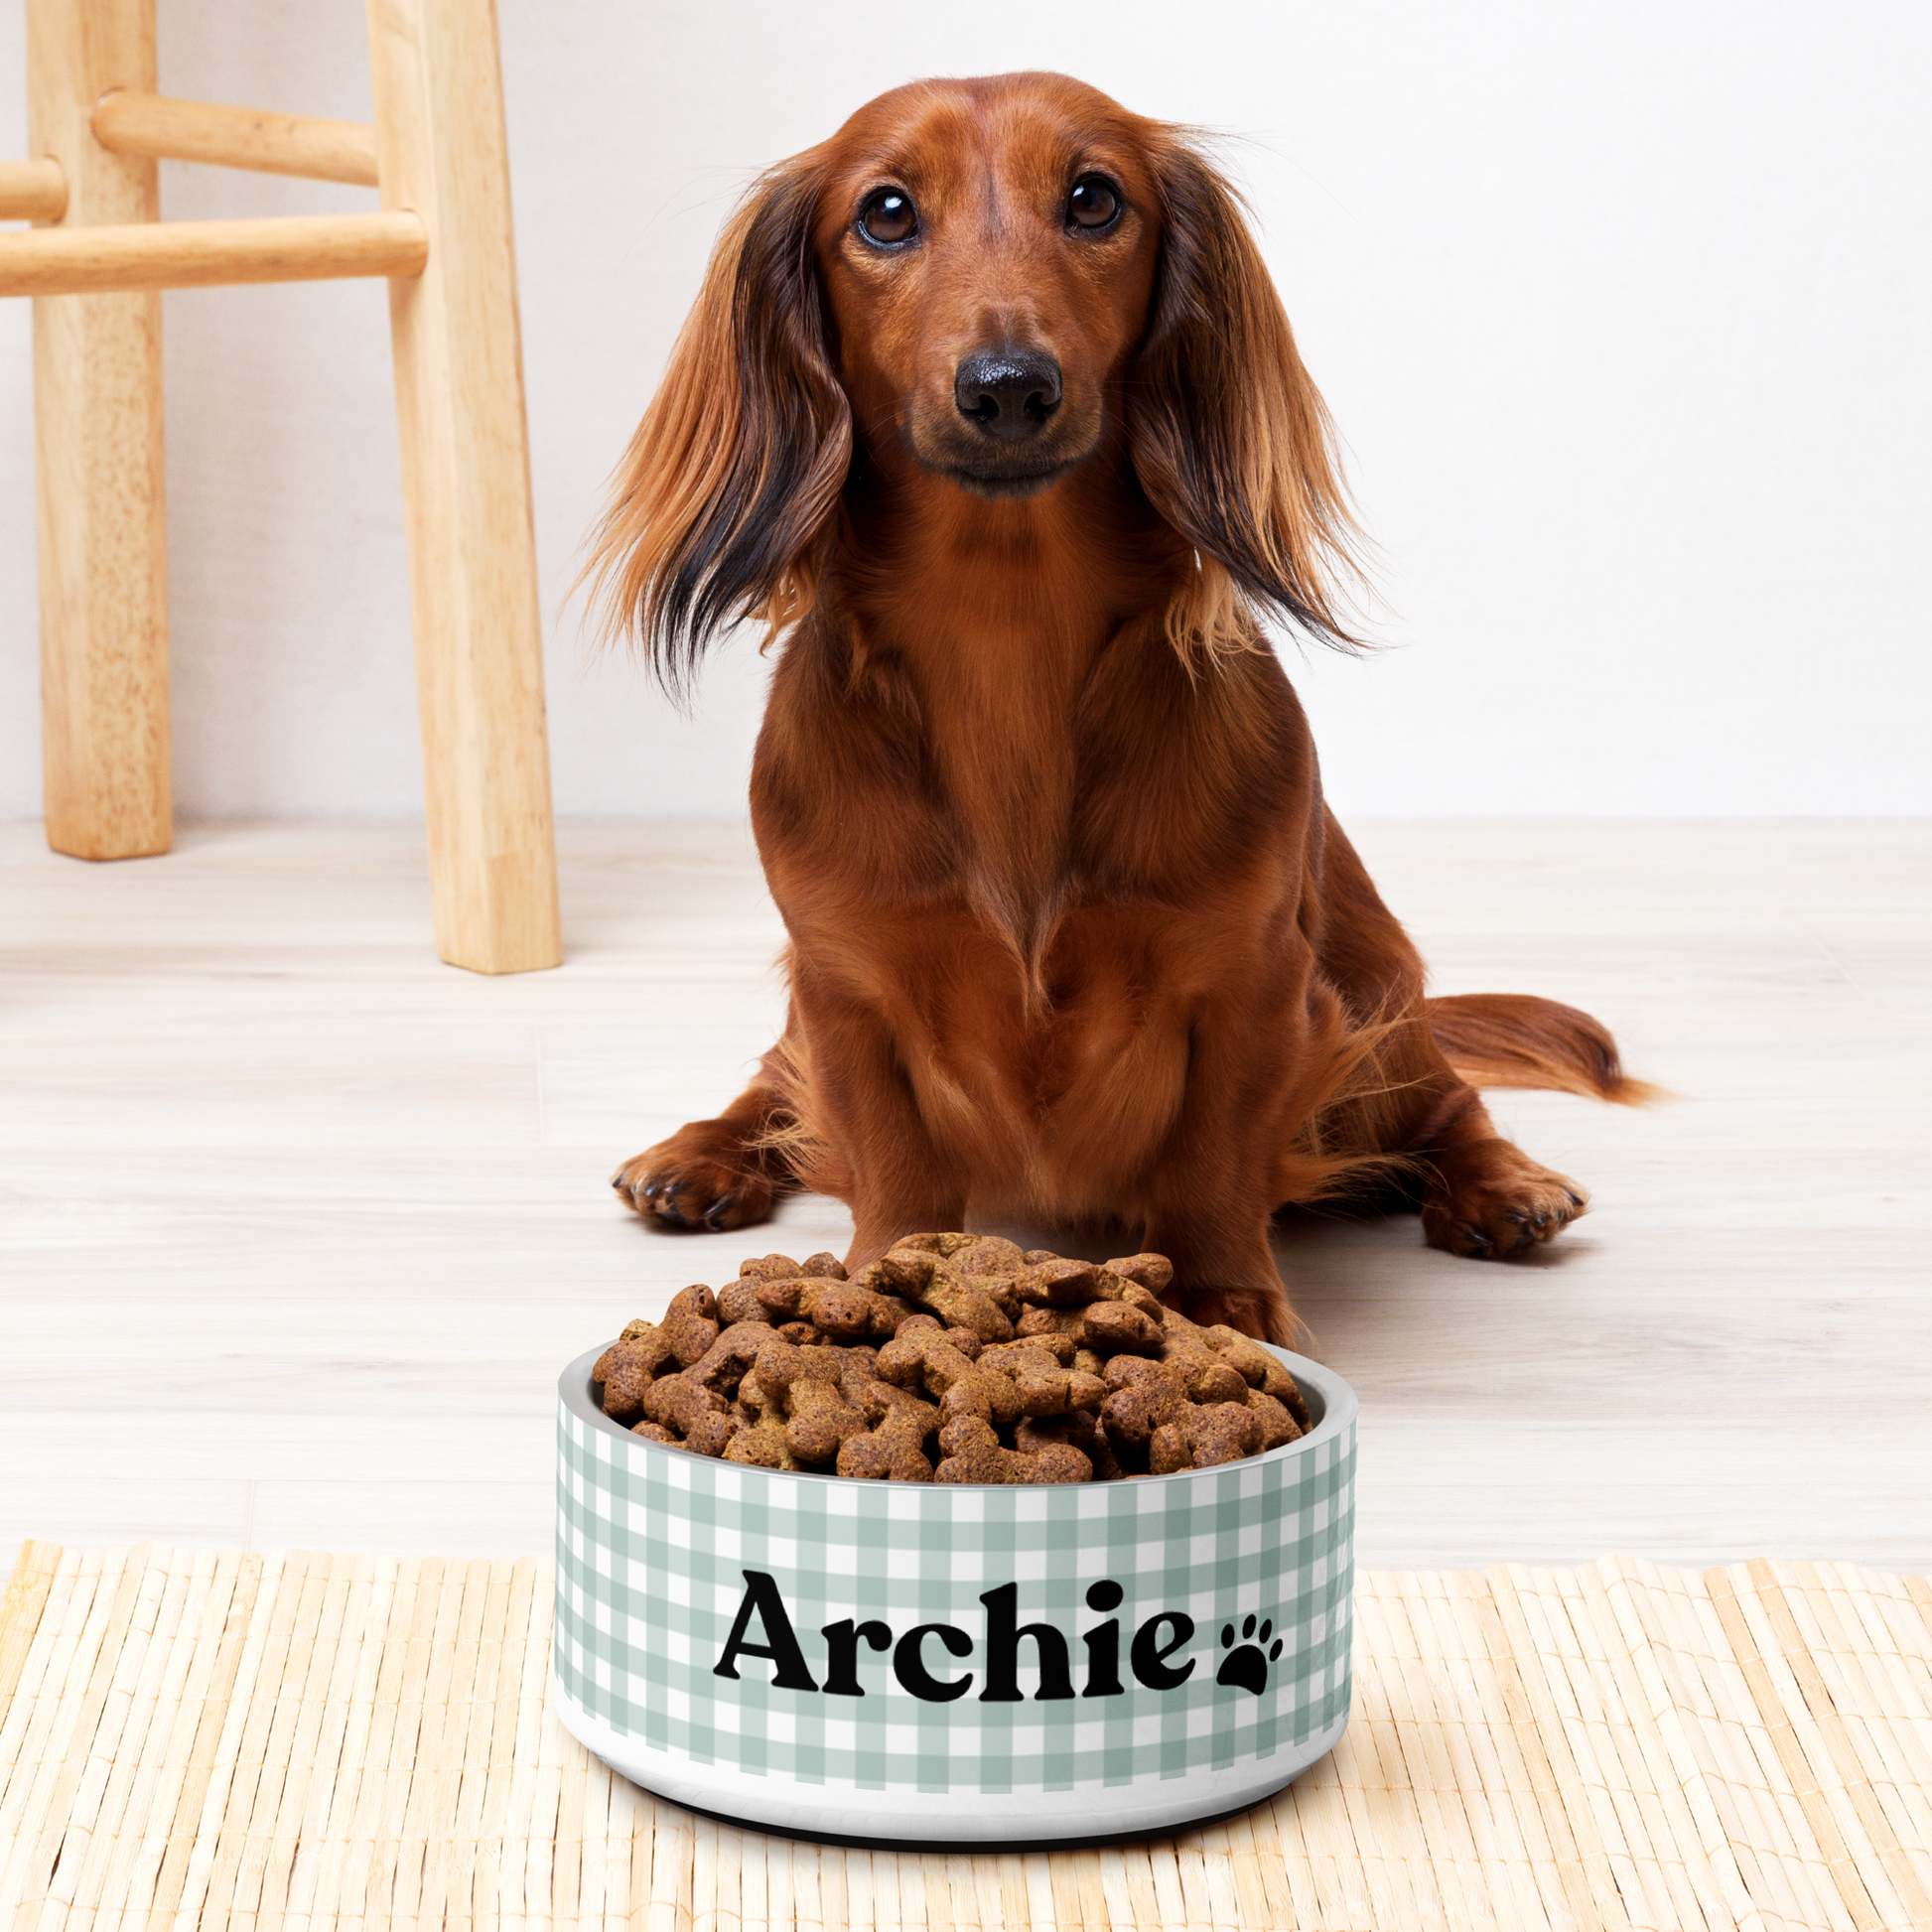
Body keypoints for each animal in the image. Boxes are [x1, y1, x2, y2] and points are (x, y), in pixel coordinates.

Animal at [583, 74, 1645, 1344]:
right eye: (884, 213)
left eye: (1094, 198)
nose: (1006, 387)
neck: (1005, 635)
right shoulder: (845, 983)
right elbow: (888, 1156)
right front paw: (883, 1281)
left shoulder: (1253, 981)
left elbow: (1211, 1159)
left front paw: (1226, 1297)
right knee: (770, 1084)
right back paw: (700, 1154)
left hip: (1374, 995)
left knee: (1445, 1100)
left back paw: (1502, 1183)